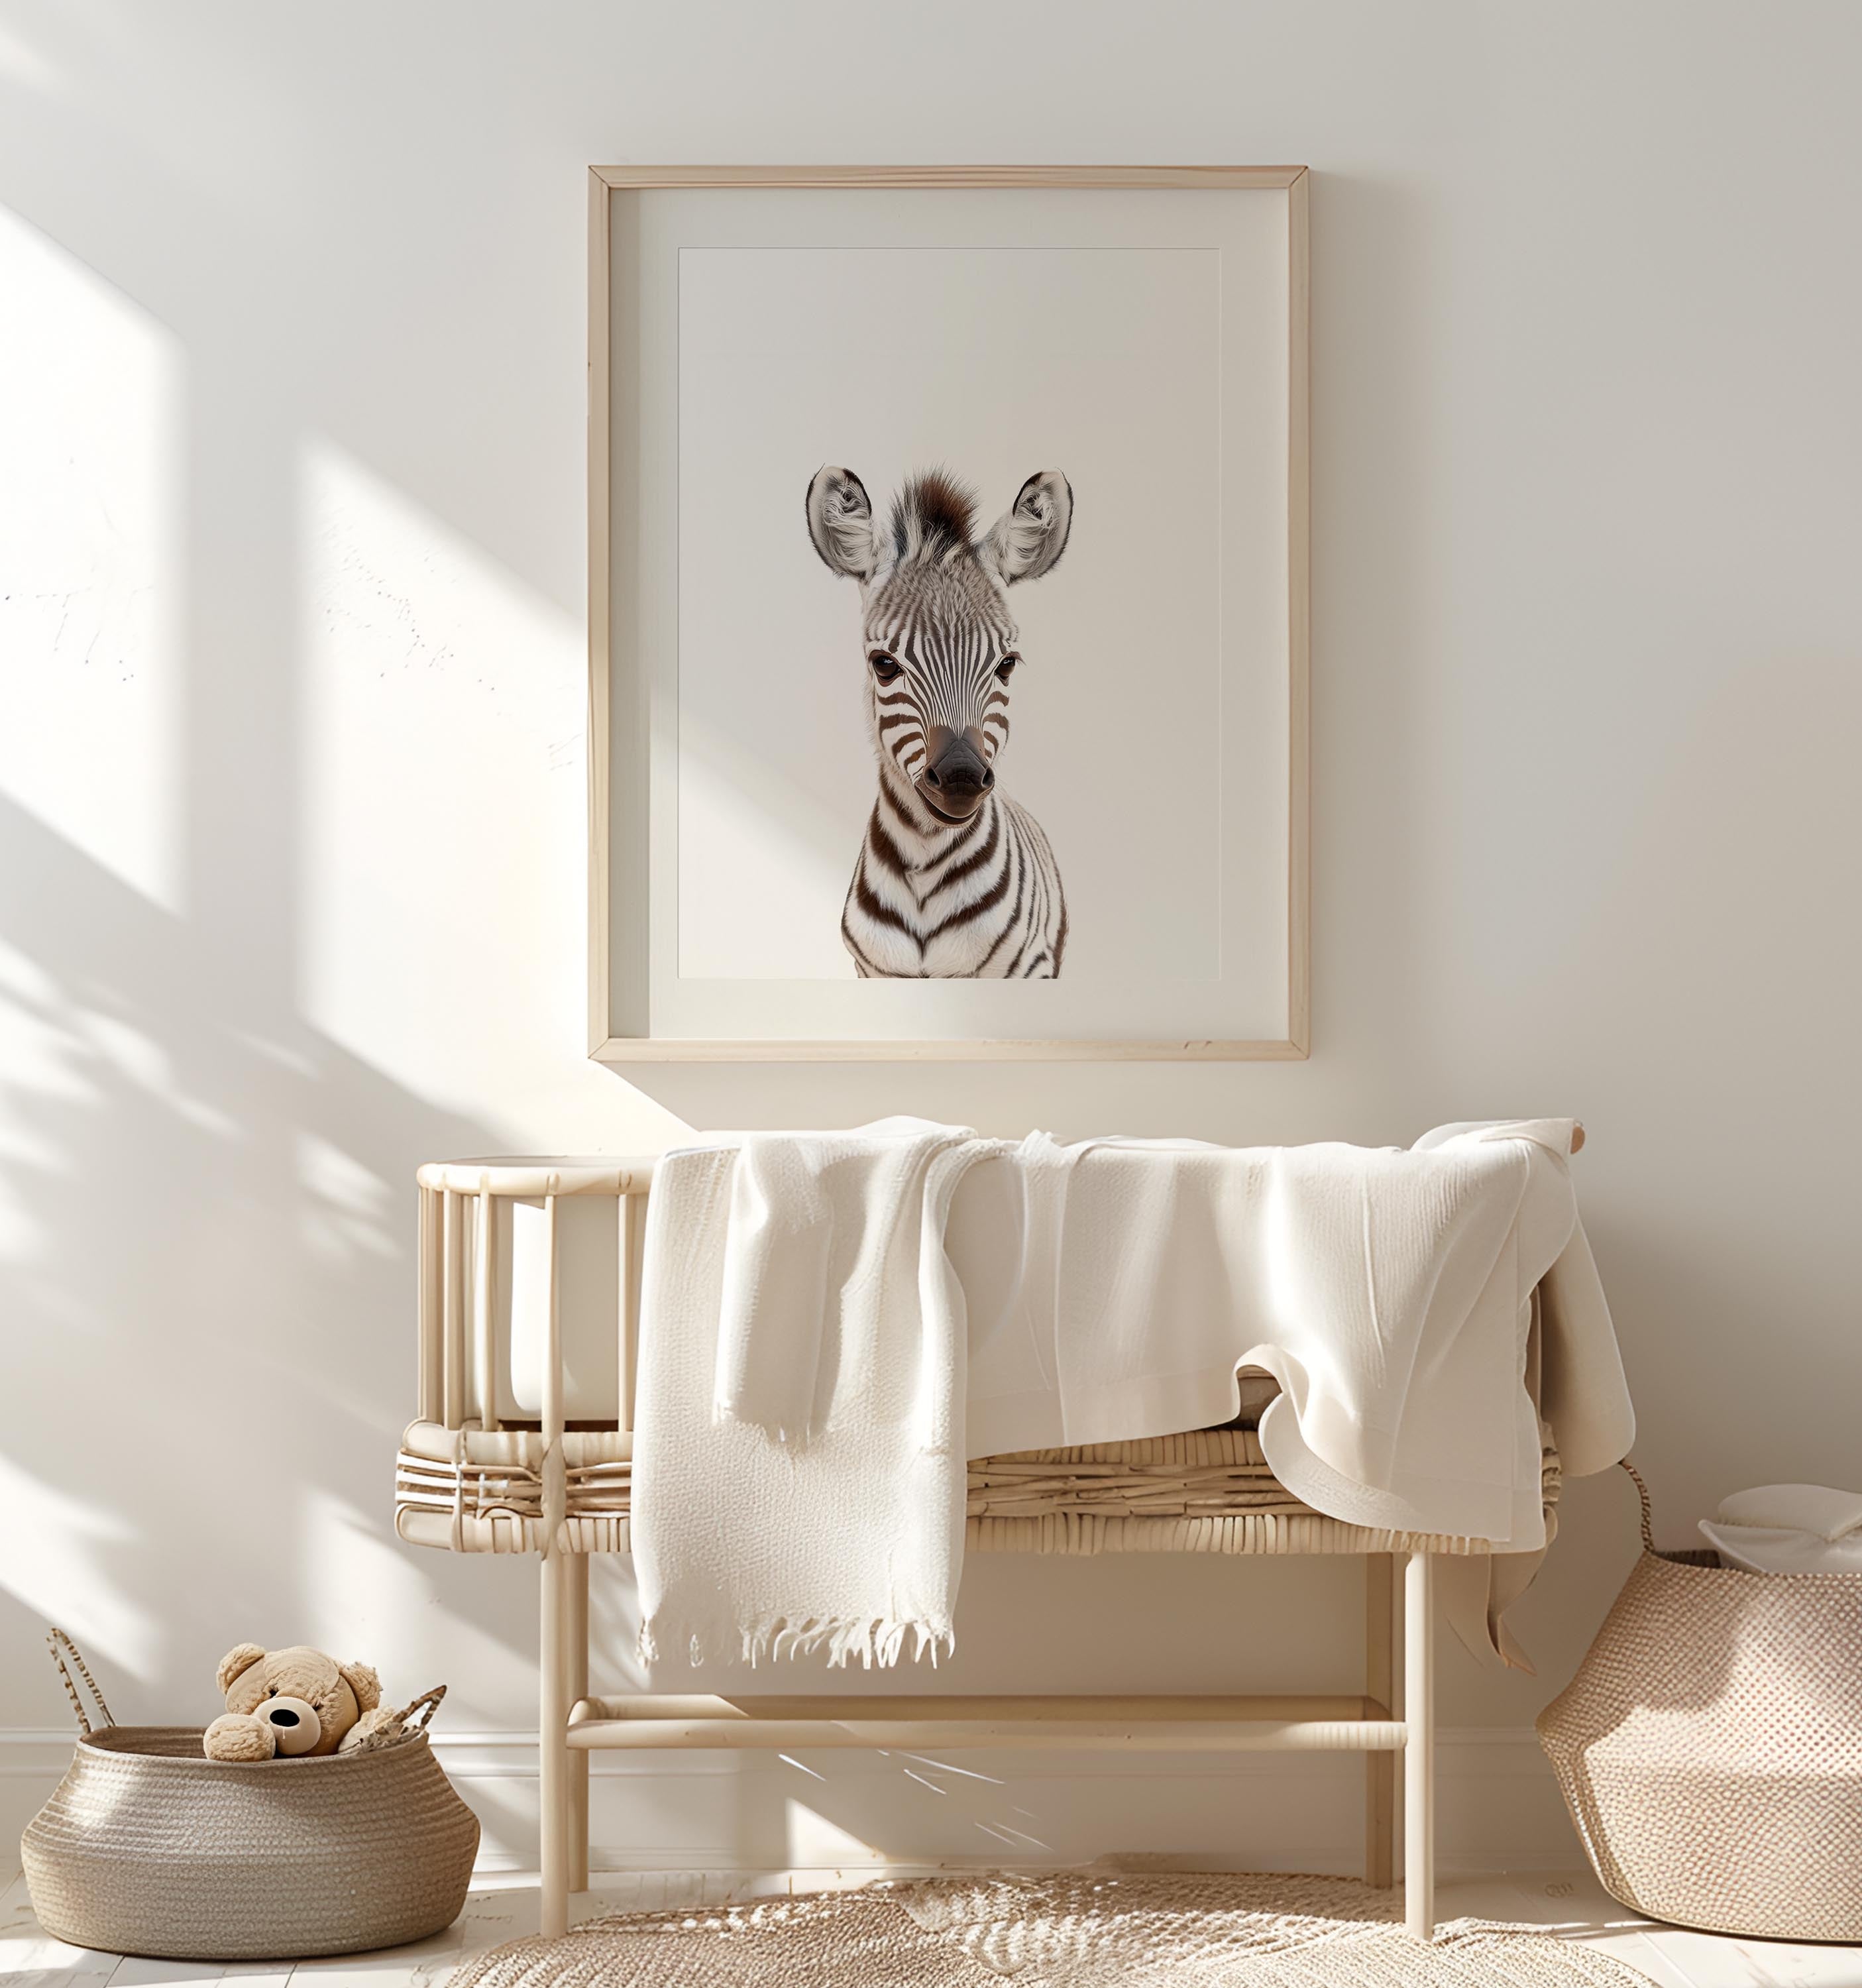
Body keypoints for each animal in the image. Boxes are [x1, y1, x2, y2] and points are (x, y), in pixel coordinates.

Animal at [805, 464, 1073, 979]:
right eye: (884, 665)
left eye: (1007, 665)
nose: (961, 777)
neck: (925, 859)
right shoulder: (872, 971)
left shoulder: (1027, 970)